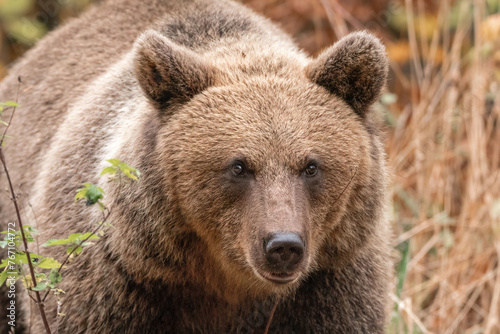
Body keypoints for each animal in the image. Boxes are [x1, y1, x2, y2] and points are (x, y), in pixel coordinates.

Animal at [0, 0, 390, 332]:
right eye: (238, 166)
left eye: (311, 166)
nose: (283, 246)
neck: (223, 283)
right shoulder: (116, 283)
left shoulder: (331, 284)